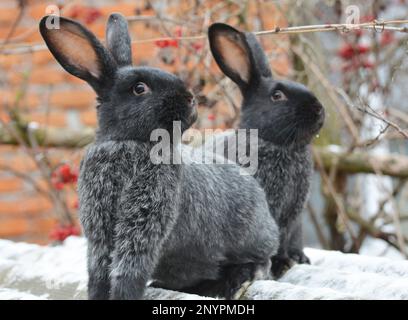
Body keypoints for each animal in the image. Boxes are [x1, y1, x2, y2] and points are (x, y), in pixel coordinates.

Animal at [39, 14, 278, 300]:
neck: (130, 143)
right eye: (139, 88)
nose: (191, 99)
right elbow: (99, 272)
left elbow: (129, 269)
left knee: (262, 262)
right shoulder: (100, 232)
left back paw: (237, 280)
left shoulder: (144, 223)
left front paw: (124, 296)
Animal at [207, 22, 326, 278]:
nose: (319, 109)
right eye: (277, 96)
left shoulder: (291, 217)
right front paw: (278, 265)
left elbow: (281, 240)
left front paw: (284, 263)